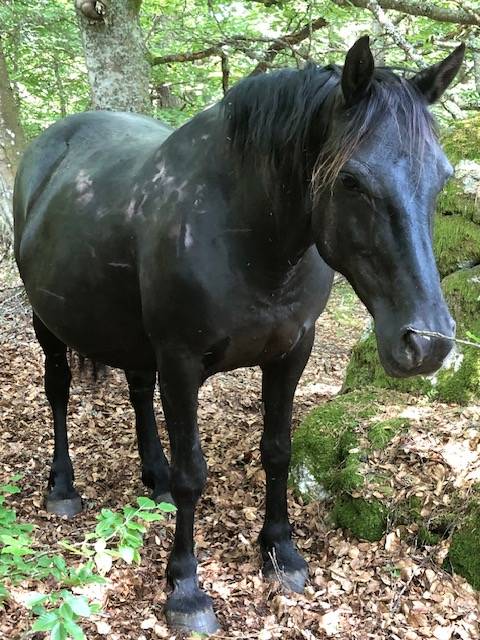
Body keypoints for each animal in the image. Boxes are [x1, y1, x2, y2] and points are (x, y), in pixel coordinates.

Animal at [13, 36, 464, 633]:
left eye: (442, 179)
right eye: (351, 181)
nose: (428, 342)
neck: (244, 234)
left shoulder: (291, 354)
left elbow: (277, 451)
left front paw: (281, 553)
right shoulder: (181, 363)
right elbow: (193, 475)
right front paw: (186, 589)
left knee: (137, 389)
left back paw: (153, 476)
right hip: (49, 325)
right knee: (59, 390)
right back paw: (63, 488)